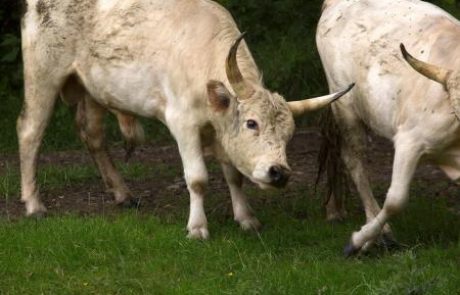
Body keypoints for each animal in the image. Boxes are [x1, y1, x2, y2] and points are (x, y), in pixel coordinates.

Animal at [17, 0, 352, 239]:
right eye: (251, 123)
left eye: (289, 133)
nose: (279, 172)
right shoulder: (183, 123)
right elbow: (198, 178)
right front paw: (197, 228)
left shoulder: (220, 132)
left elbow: (233, 176)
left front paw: (246, 218)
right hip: (43, 75)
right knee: (30, 131)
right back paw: (34, 205)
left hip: (93, 90)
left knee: (93, 135)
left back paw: (123, 194)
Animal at [316, 0, 460, 256]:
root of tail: (335, 3)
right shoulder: (409, 141)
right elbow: (395, 200)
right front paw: (359, 240)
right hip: (345, 106)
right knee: (355, 162)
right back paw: (380, 232)